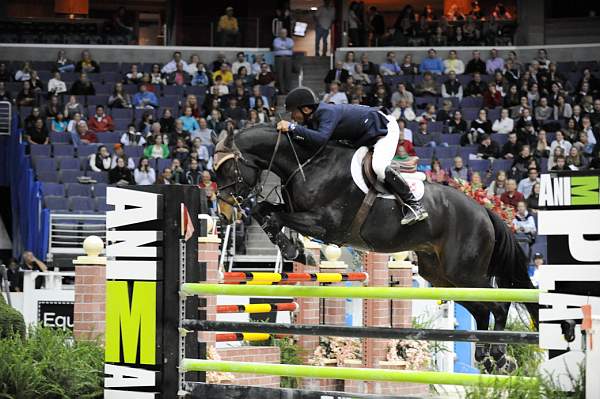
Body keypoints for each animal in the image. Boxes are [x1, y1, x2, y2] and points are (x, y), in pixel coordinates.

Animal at [214, 124, 540, 372]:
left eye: (228, 169)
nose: (224, 215)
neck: (305, 164)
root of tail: (484, 210)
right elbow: (265, 211)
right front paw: (294, 248)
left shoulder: (325, 223)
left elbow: (273, 215)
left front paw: (295, 249)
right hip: (442, 276)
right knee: (482, 308)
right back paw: (486, 356)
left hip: (465, 271)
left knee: (499, 304)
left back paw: (499, 356)